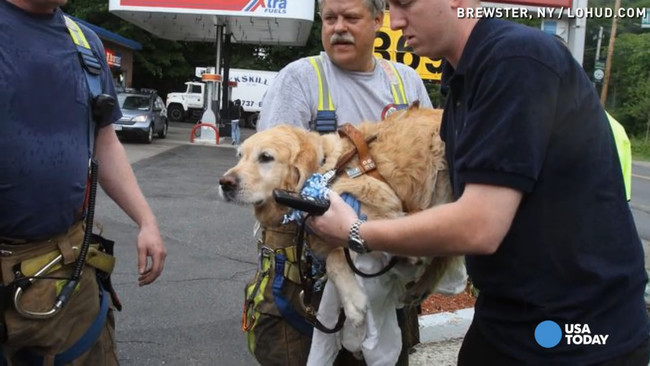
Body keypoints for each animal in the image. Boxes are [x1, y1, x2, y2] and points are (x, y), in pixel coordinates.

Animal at [218, 101, 460, 334]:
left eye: (266, 157)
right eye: (240, 156)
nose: (224, 183)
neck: (327, 169)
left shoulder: (382, 210)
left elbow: (339, 253)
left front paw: (354, 302)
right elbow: (334, 256)